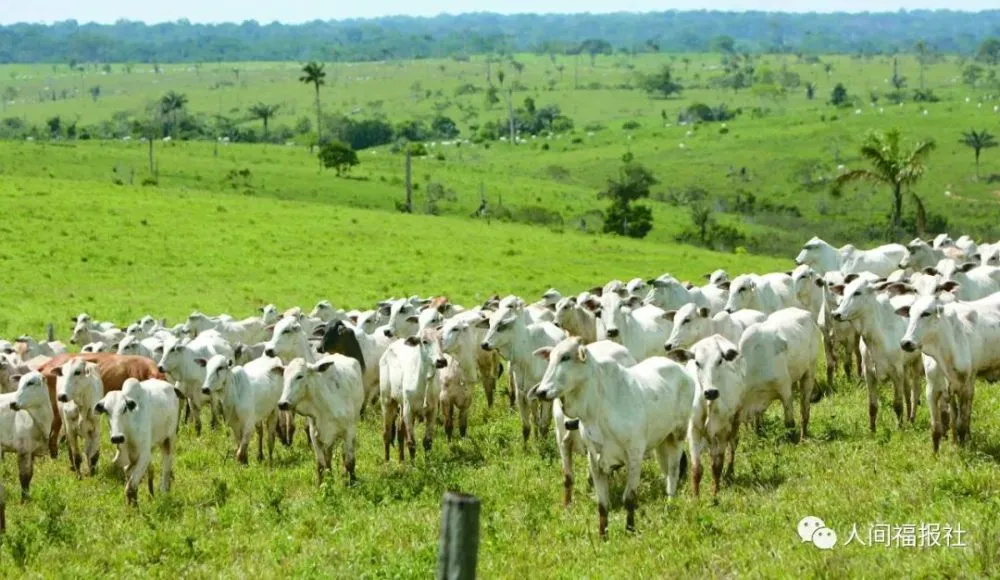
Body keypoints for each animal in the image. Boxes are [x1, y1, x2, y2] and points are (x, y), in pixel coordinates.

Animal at [94, 378, 181, 506]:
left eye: (125, 408)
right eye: (106, 411)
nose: (117, 438)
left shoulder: (144, 455)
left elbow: (130, 488)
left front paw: (134, 509)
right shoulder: (128, 459)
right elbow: (131, 481)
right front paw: (132, 506)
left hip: (168, 439)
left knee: (166, 467)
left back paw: (164, 491)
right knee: (151, 471)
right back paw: (151, 495)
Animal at [532, 338, 696, 536]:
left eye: (565, 357)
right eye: (550, 358)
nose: (541, 391)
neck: (597, 406)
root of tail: (681, 369)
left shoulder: (635, 456)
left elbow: (629, 498)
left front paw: (630, 530)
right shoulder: (594, 460)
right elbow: (602, 504)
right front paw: (603, 536)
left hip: (678, 435)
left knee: (673, 473)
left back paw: (669, 505)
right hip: (662, 441)